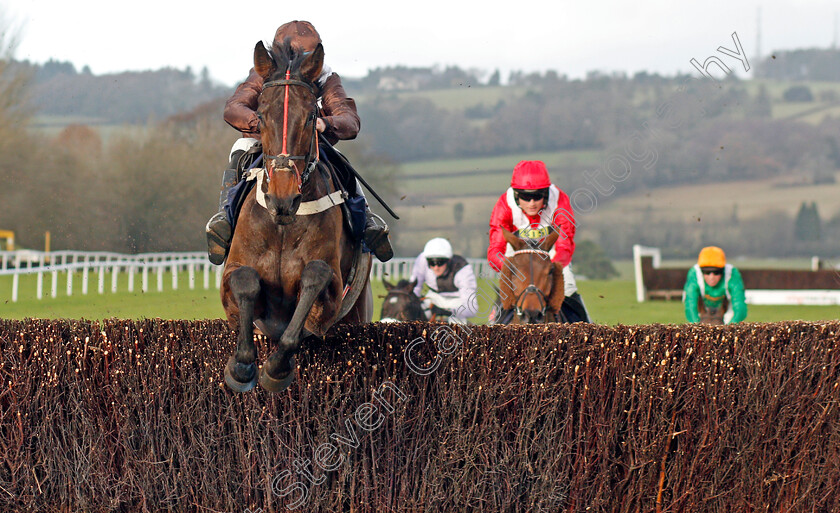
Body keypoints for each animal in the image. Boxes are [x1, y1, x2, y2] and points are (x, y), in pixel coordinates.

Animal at [220, 40, 370, 392]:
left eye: (312, 115)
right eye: (261, 115)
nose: (283, 197)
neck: (282, 225)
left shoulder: (332, 297)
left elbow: (315, 276)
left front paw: (275, 368)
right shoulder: (231, 276)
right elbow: (245, 281)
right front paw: (241, 367)